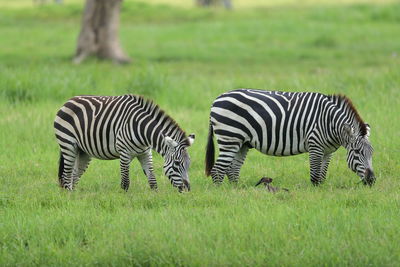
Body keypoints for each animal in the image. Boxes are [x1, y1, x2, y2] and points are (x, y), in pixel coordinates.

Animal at [54, 95, 195, 192]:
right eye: (177, 164)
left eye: (189, 164)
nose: (187, 189)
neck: (143, 131)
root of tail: (69, 101)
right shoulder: (124, 153)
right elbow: (125, 183)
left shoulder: (145, 153)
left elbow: (152, 180)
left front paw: (155, 197)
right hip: (68, 145)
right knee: (66, 176)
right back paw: (70, 198)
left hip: (83, 152)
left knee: (74, 175)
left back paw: (75, 197)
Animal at [206, 89, 376, 186]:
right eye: (357, 152)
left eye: (372, 153)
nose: (372, 180)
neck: (330, 123)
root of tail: (217, 99)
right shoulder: (315, 146)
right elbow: (315, 176)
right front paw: (315, 195)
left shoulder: (328, 151)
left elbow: (322, 175)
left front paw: (322, 191)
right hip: (230, 138)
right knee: (218, 170)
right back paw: (222, 195)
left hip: (242, 143)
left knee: (232, 170)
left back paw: (236, 191)